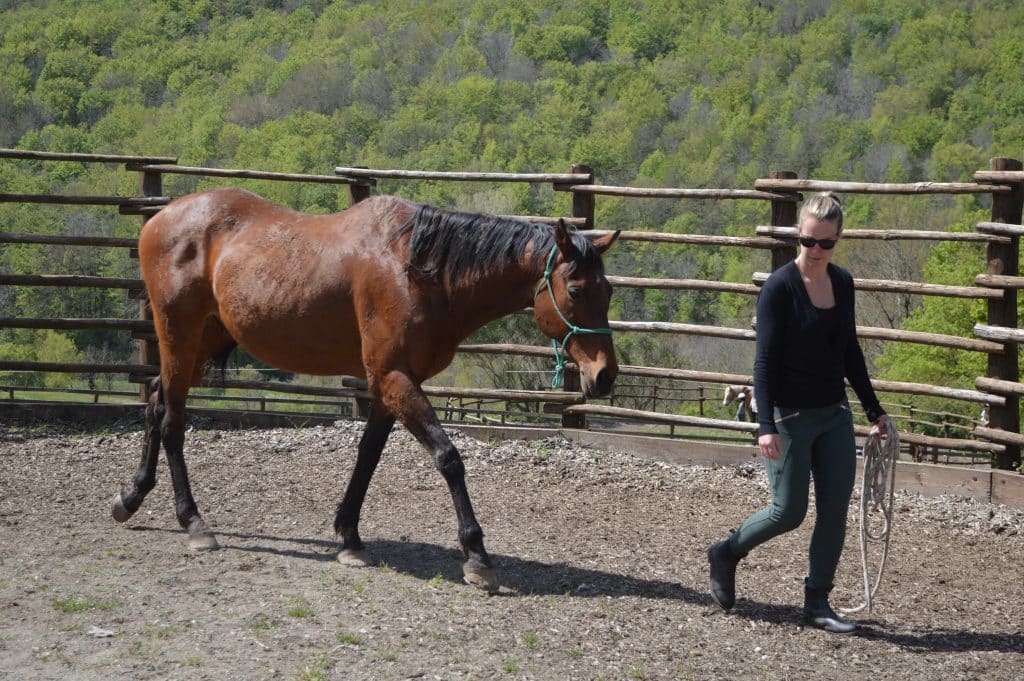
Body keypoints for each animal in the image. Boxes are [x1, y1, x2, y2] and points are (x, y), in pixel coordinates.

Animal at [111, 187, 620, 591]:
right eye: (576, 290)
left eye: (609, 291)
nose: (605, 375)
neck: (417, 269)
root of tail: (161, 217)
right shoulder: (393, 378)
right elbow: (449, 458)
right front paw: (476, 556)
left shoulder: (389, 385)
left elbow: (368, 457)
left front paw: (349, 537)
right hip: (178, 336)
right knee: (173, 420)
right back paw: (194, 523)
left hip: (204, 340)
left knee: (155, 399)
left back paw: (131, 497)